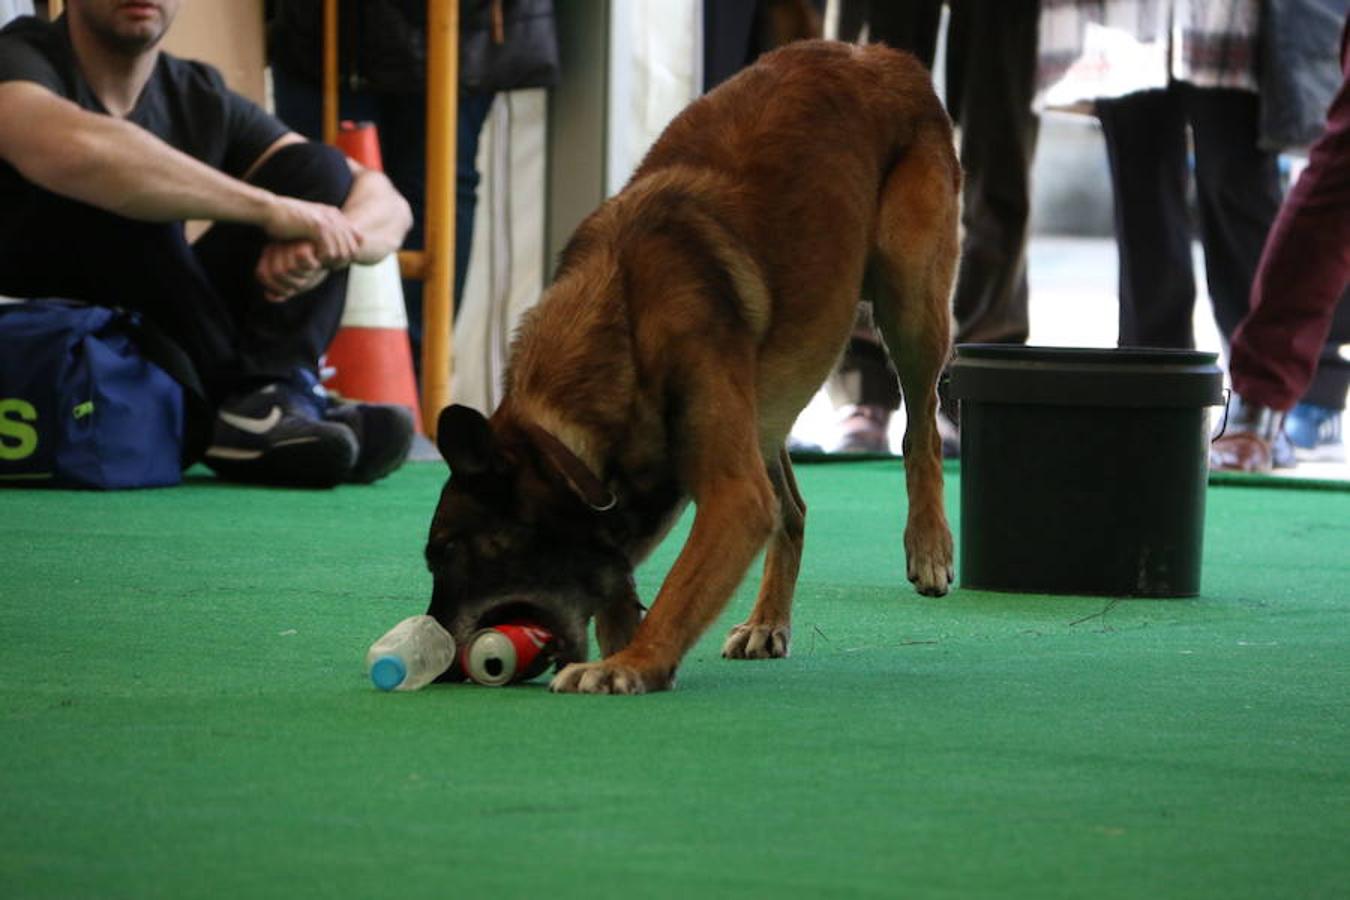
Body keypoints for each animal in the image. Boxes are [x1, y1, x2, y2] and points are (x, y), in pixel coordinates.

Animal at [426, 38, 955, 696]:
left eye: (450, 552)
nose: (443, 667)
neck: (619, 331)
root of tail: (879, 56)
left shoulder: (734, 497)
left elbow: (679, 589)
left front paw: (629, 664)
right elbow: (625, 581)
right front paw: (623, 649)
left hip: (908, 301)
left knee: (922, 429)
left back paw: (929, 544)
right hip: (768, 402)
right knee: (793, 508)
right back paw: (766, 622)